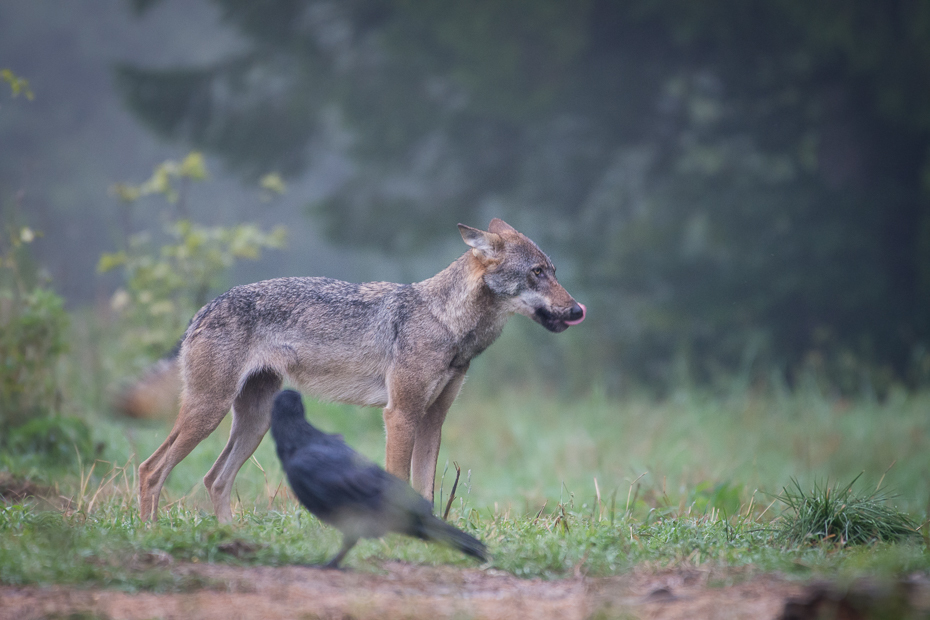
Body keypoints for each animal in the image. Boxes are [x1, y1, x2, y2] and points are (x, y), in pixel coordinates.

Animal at [134, 219, 584, 524]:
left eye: (554, 271)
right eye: (536, 273)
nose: (578, 309)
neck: (446, 323)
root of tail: (203, 309)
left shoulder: (433, 421)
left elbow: (425, 491)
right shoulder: (400, 414)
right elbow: (400, 483)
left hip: (253, 423)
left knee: (214, 479)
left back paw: (229, 535)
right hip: (208, 413)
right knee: (151, 470)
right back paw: (153, 533)